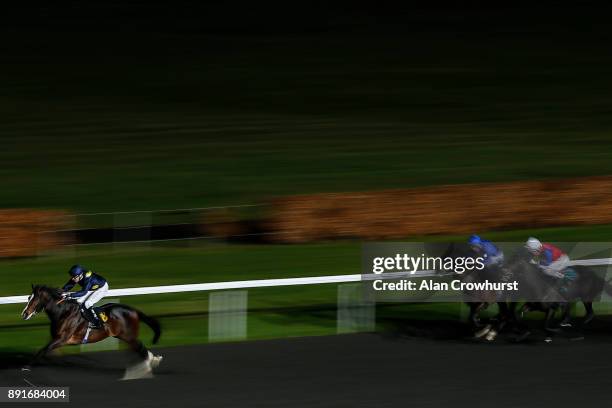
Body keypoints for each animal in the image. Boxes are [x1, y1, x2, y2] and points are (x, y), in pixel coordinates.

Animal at [21, 286, 163, 374]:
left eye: (35, 299)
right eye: (28, 298)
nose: (24, 314)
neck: (63, 313)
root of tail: (133, 310)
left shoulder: (62, 339)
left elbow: (43, 350)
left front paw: (27, 366)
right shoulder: (56, 338)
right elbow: (46, 350)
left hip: (128, 335)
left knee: (140, 347)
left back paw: (150, 362)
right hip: (123, 336)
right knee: (138, 348)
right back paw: (152, 360)